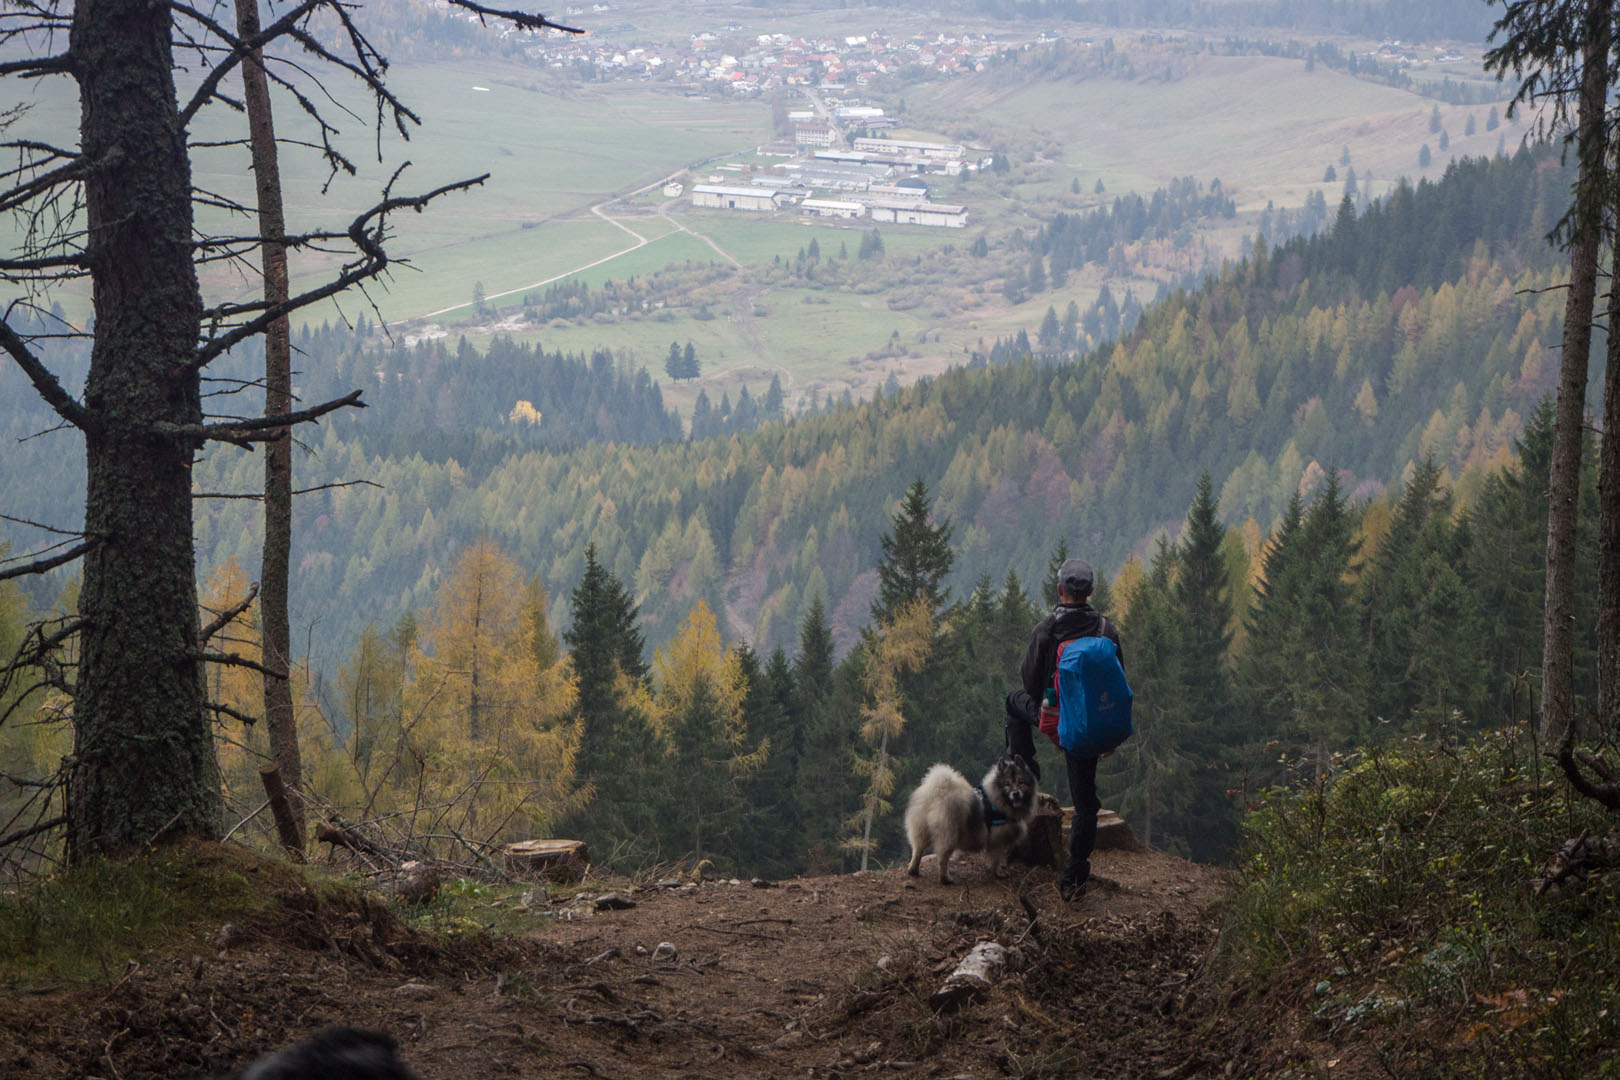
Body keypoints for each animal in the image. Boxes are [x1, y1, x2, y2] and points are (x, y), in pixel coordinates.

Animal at [900, 757, 1036, 880]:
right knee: (942, 859)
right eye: (1007, 784)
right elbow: (996, 859)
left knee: (917, 851)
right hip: (948, 835)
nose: (1016, 793)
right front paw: (998, 873)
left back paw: (913, 871)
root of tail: (937, 792)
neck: (998, 801)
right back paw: (946, 879)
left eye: (1021, 782)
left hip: (921, 829)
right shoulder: (997, 840)